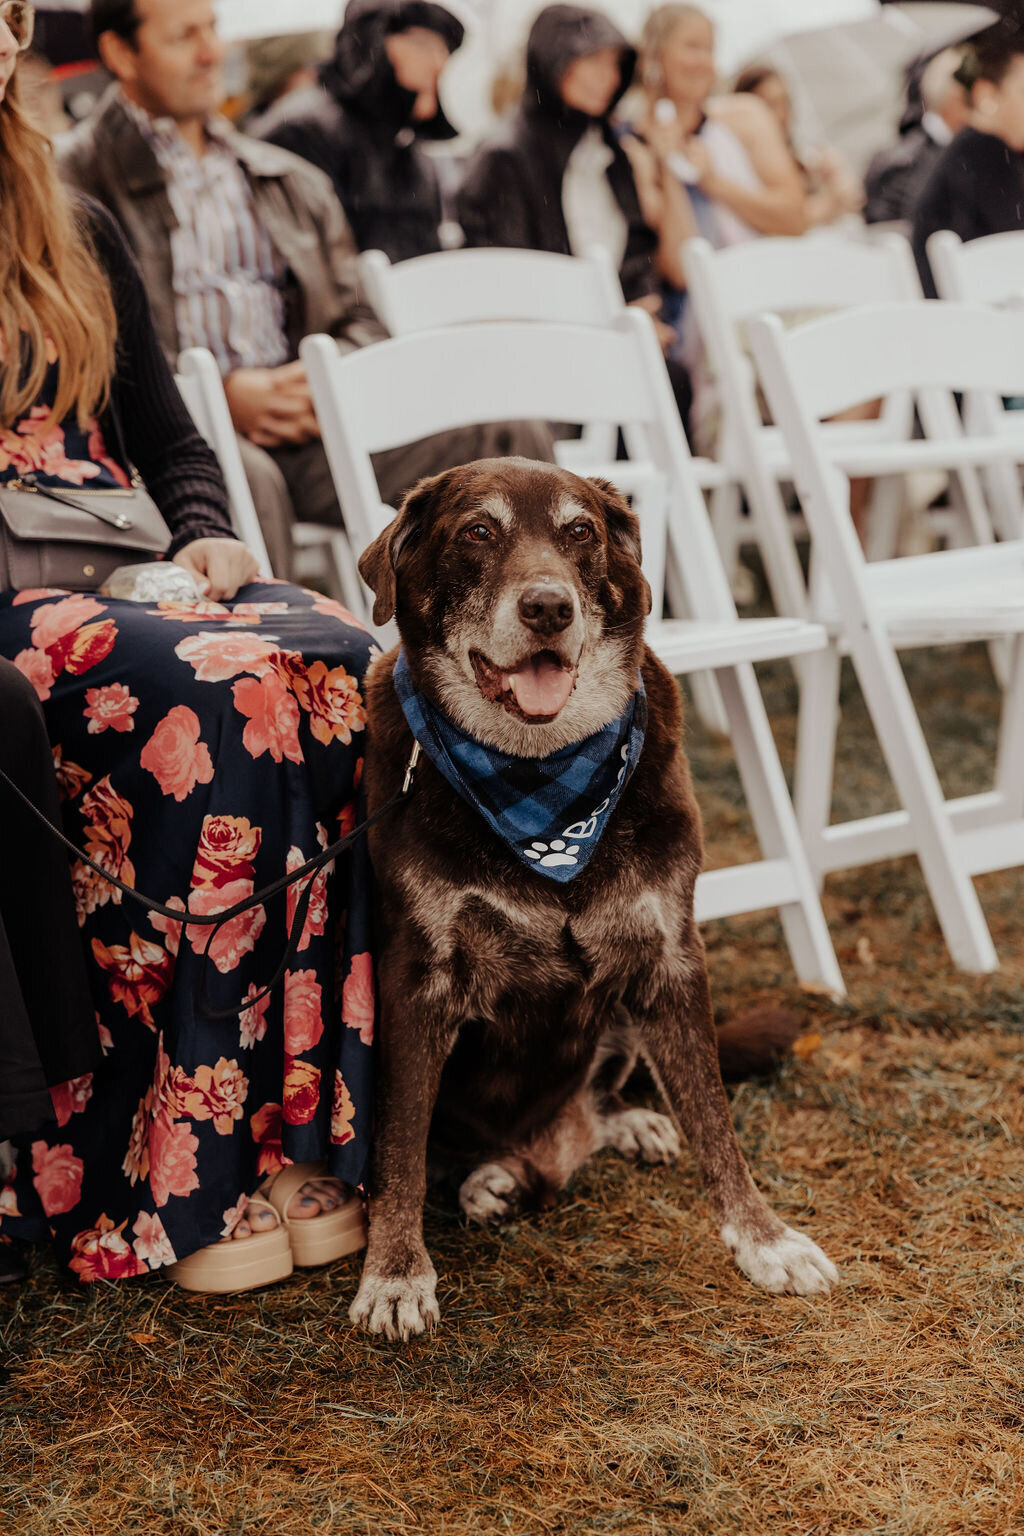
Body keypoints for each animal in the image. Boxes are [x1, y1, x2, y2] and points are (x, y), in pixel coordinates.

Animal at [348, 457, 835, 1345]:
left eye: (580, 532)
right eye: (479, 531)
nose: (548, 607)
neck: (540, 781)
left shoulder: (671, 955)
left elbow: (713, 1114)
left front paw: (764, 1238)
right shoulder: (414, 980)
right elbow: (399, 1147)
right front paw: (395, 1273)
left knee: (597, 1106)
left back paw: (600, 1131)